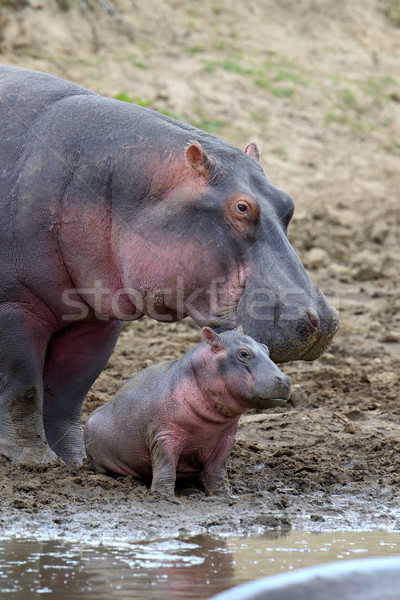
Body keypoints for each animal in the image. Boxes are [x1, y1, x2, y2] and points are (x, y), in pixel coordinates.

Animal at [0, 69, 338, 464]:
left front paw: (76, 461)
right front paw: (33, 460)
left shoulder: (97, 315)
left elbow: (69, 389)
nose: (323, 321)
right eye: (242, 207)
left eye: (289, 202)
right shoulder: (15, 305)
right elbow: (24, 387)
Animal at [84, 328, 290, 496]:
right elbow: (165, 466)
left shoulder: (225, 438)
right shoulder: (165, 437)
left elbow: (218, 470)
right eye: (243, 353)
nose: (285, 379)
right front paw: (162, 495)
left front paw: (223, 495)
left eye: (266, 348)